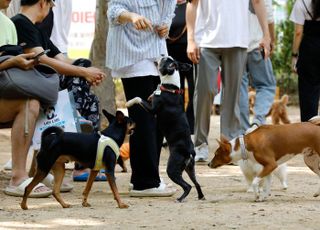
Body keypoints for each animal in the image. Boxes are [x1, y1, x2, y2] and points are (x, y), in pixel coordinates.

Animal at [125, 55, 205, 201]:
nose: (162, 54)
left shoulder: (152, 109)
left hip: (172, 168)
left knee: (187, 186)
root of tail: (190, 151)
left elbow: (138, 98)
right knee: (196, 183)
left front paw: (129, 102)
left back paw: (180, 199)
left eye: (164, 60)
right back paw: (201, 196)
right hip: (190, 168)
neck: (170, 87)